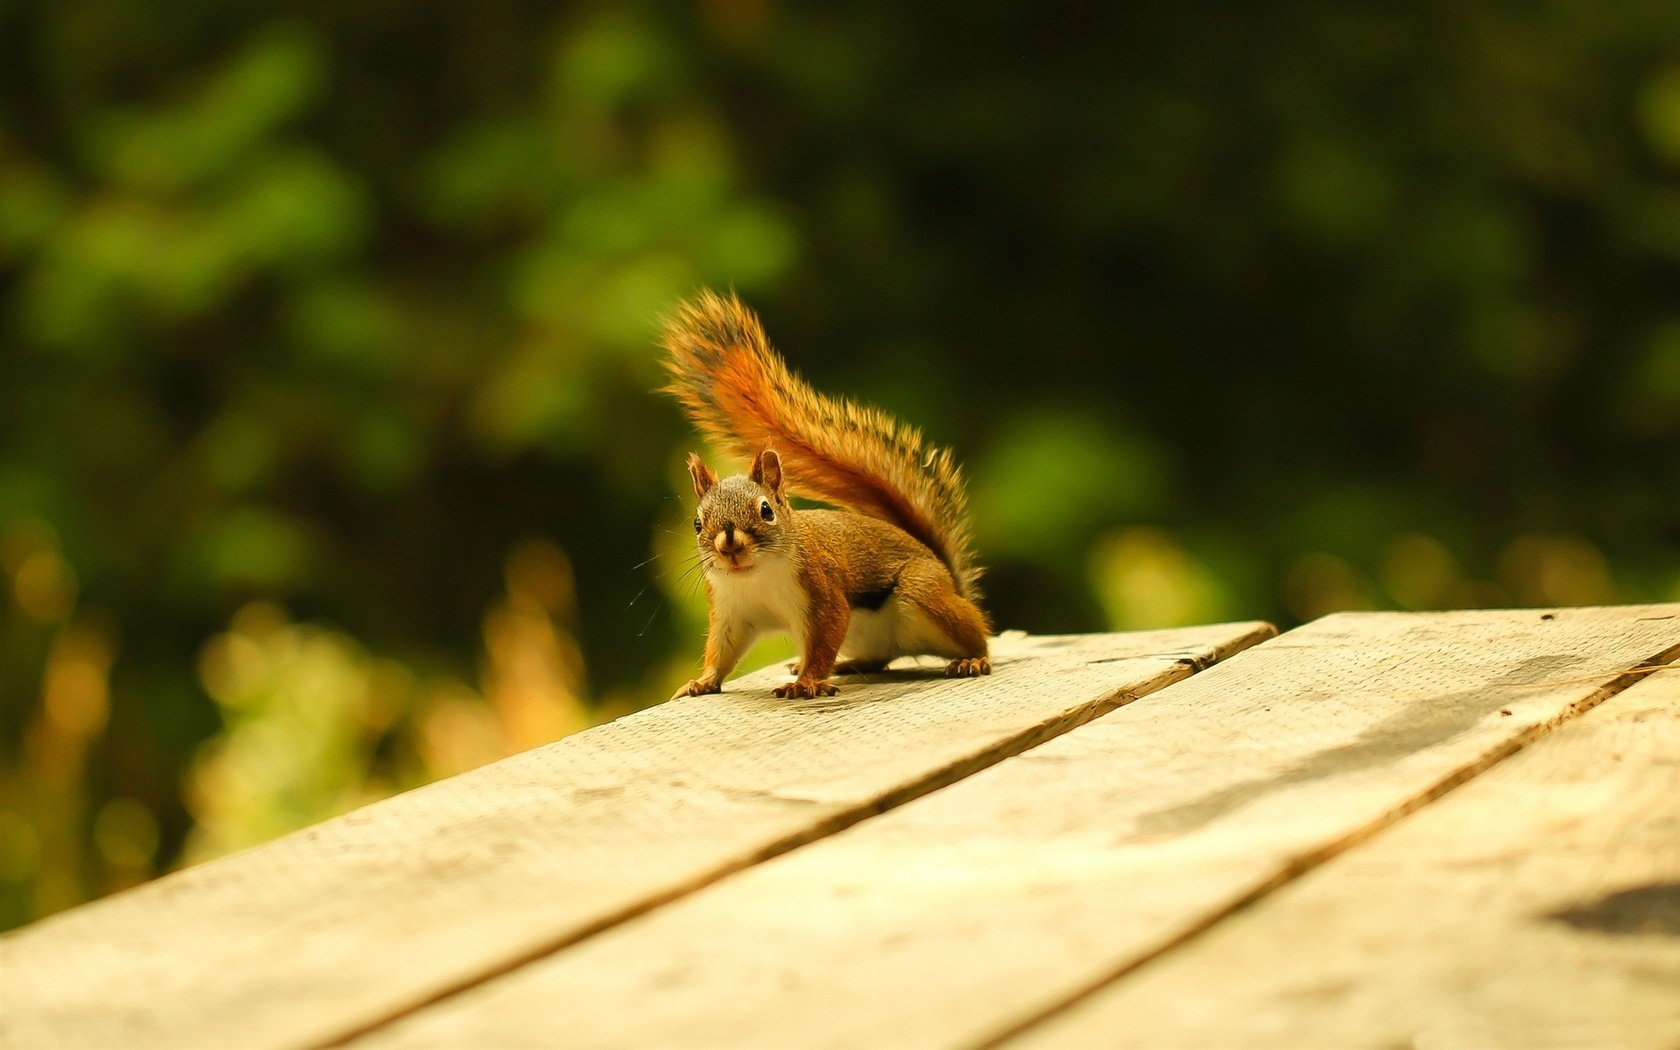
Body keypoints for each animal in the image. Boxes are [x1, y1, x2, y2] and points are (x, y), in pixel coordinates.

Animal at [661, 287, 987, 698]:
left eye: (766, 511)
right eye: (697, 523)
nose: (729, 546)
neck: (756, 577)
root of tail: (948, 577)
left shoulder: (822, 591)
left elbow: (825, 635)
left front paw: (807, 682)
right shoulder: (731, 612)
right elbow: (721, 652)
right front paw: (701, 683)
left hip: (924, 593)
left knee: (978, 633)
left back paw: (973, 659)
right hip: (869, 635)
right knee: (881, 657)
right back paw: (847, 665)